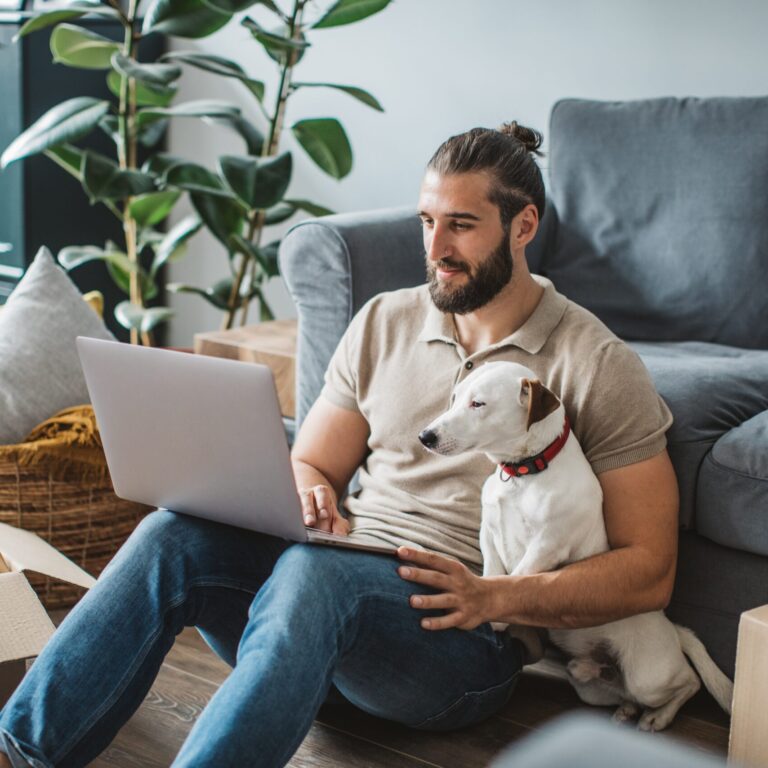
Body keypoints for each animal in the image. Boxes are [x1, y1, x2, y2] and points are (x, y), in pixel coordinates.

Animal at [420, 362, 732, 732]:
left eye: (478, 404)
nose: (425, 436)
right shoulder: (490, 533)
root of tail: (672, 630)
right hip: (588, 687)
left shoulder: (547, 546)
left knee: (688, 683)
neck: (524, 473)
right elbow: (494, 572)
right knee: (622, 691)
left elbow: (514, 577)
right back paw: (627, 708)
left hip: (649, 677)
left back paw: (659, 716)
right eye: (454, 398)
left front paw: (490, 614)